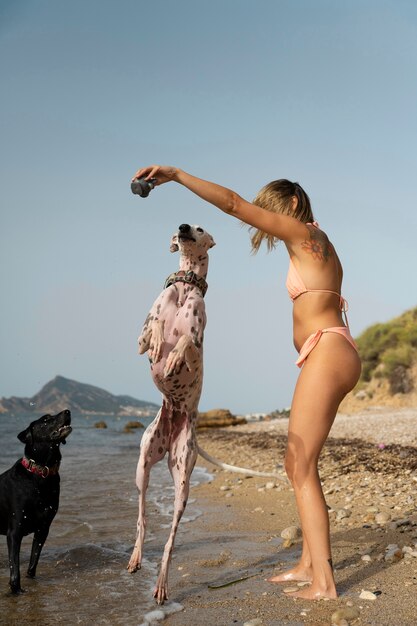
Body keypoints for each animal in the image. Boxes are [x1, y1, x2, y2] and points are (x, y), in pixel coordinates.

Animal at [0, 408, 71, 592]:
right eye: (46, 419)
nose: (68, 411)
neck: (41, 474)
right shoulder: (14, 531)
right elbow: (14, 568)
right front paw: (16, 591)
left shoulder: (43, 528)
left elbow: (33, 561)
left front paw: (31, 579)